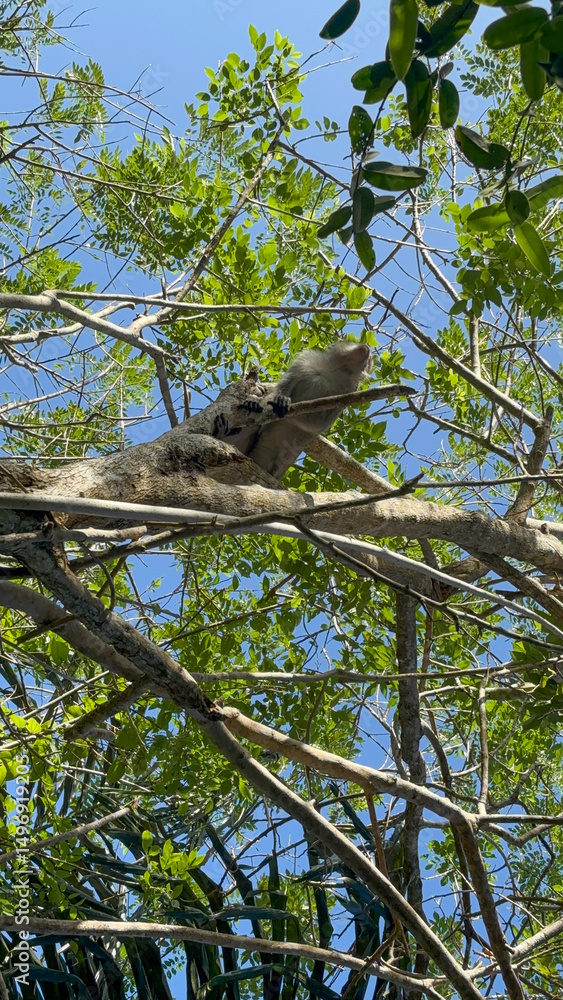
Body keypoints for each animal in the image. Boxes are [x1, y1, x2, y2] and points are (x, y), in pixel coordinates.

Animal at [219, 341, 372, 480]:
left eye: (370, 361)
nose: (368, 351)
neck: (334, 371)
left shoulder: (349, 390)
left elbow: (317, 424)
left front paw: (281, 404)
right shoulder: (304, 362)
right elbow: (281, 388)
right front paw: (256, 400)